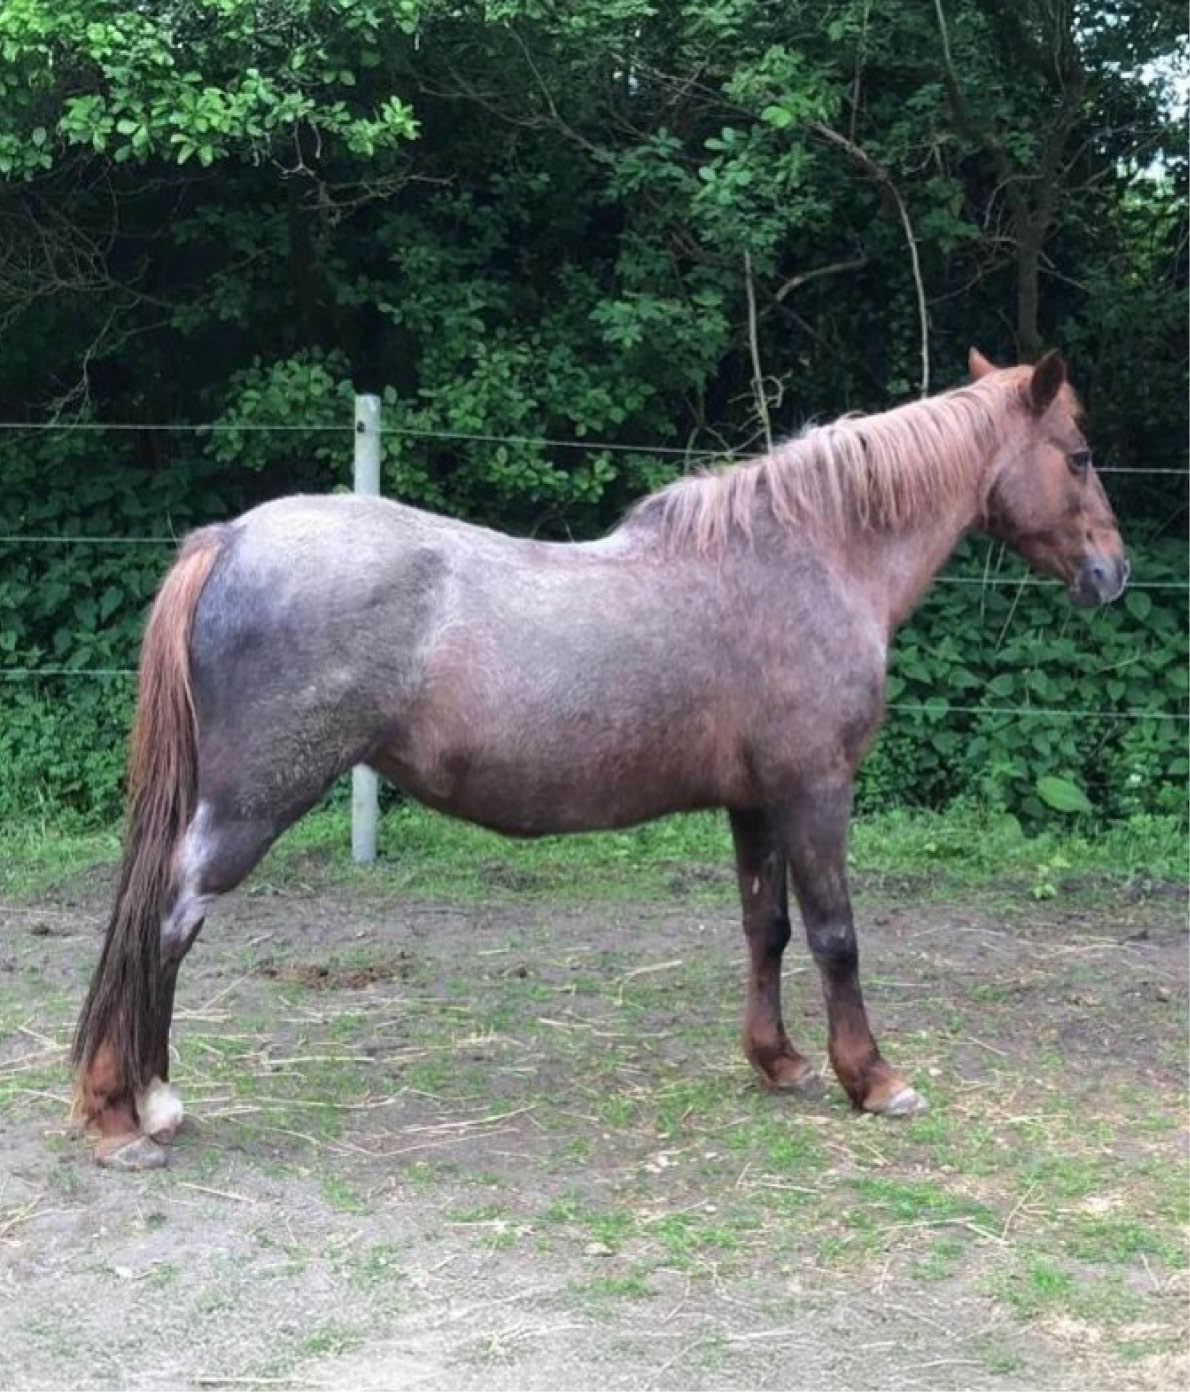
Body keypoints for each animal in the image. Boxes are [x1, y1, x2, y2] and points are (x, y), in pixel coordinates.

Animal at [69, 348, 1130, 1163]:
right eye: (1078, 455)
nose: (1112, 573)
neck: (808, 559)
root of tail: (230, 538)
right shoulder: (816, 791)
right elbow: (836, 935)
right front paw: (871, 1078)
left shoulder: (755, 803)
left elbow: (767, 930)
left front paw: (778, 1061)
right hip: (250, 808)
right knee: (166, 921)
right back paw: (128, 1113)